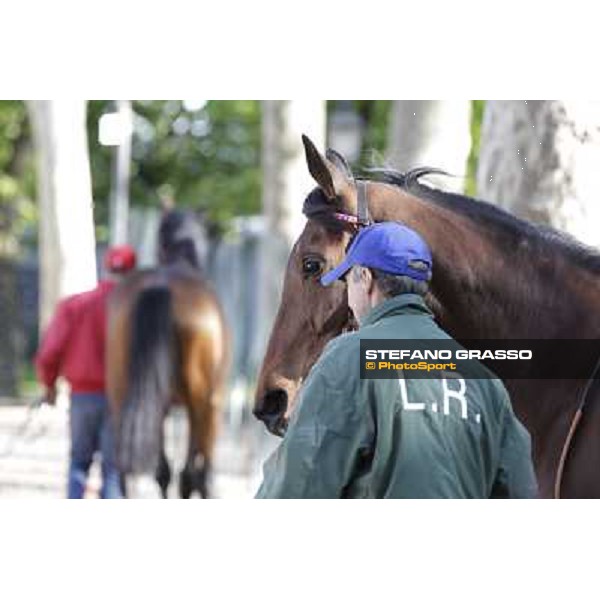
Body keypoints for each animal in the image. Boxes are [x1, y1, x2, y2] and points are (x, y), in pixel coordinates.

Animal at [108, 209, 230, 500]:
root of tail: (162, 285)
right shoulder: (212, 402)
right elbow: (195, 473)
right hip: (202, 400)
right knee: (194, 472)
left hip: (123, 394)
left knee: (141, 473)